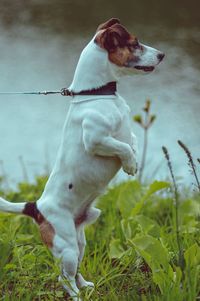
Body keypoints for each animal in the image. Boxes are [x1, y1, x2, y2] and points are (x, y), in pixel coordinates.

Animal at [0, 18, 164, 298]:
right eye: (134, 44)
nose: (162, 55)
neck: (97, 94)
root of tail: (37, 208)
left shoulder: (125, 133)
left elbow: (131, 141)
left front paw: (134, 159)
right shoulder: (96, 139)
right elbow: (123, 147)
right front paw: (131, 165)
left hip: (79, 242)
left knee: (75, 271)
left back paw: (85, 285)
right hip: (65, 247)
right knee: (63, 278)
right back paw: (77, 296)